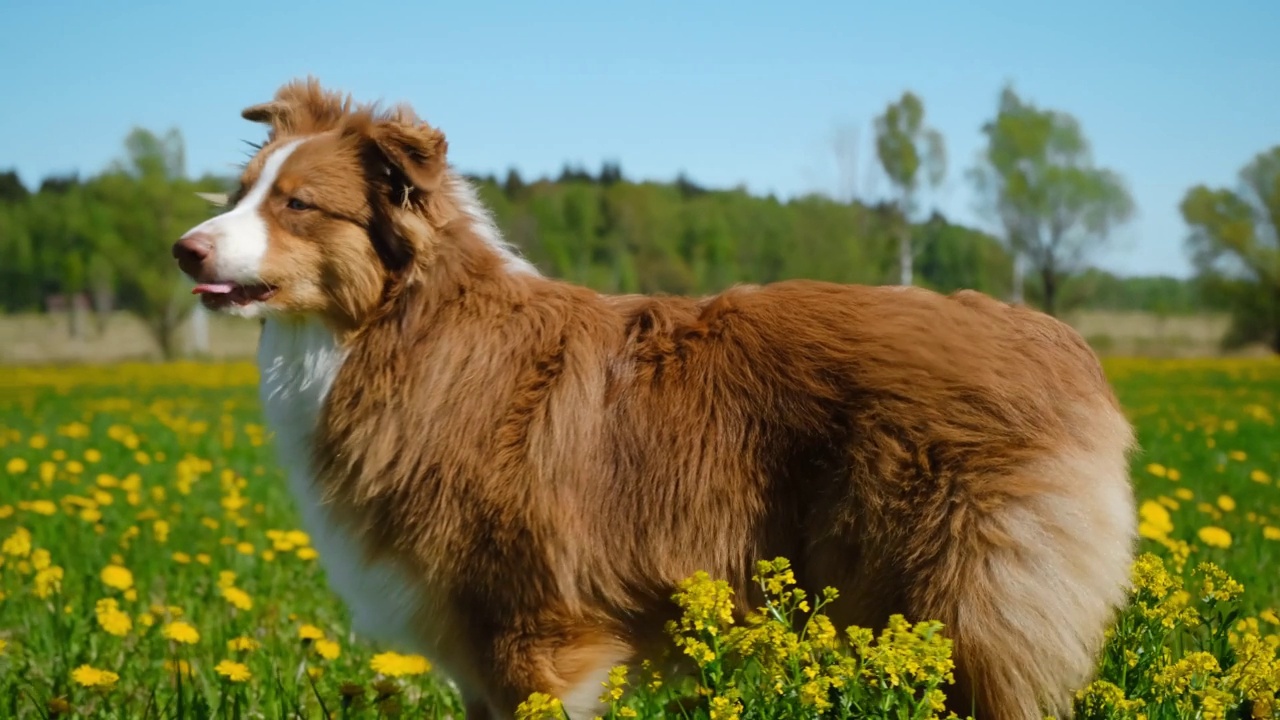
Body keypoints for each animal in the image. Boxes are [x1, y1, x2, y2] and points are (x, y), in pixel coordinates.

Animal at [172, 78, 1141, 717]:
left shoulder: (537, 634)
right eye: (239, 195)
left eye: (299, 205)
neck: (405, 330)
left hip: (964, 612)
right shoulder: (479, 651)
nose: (184, 249)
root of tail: (1064, 348)